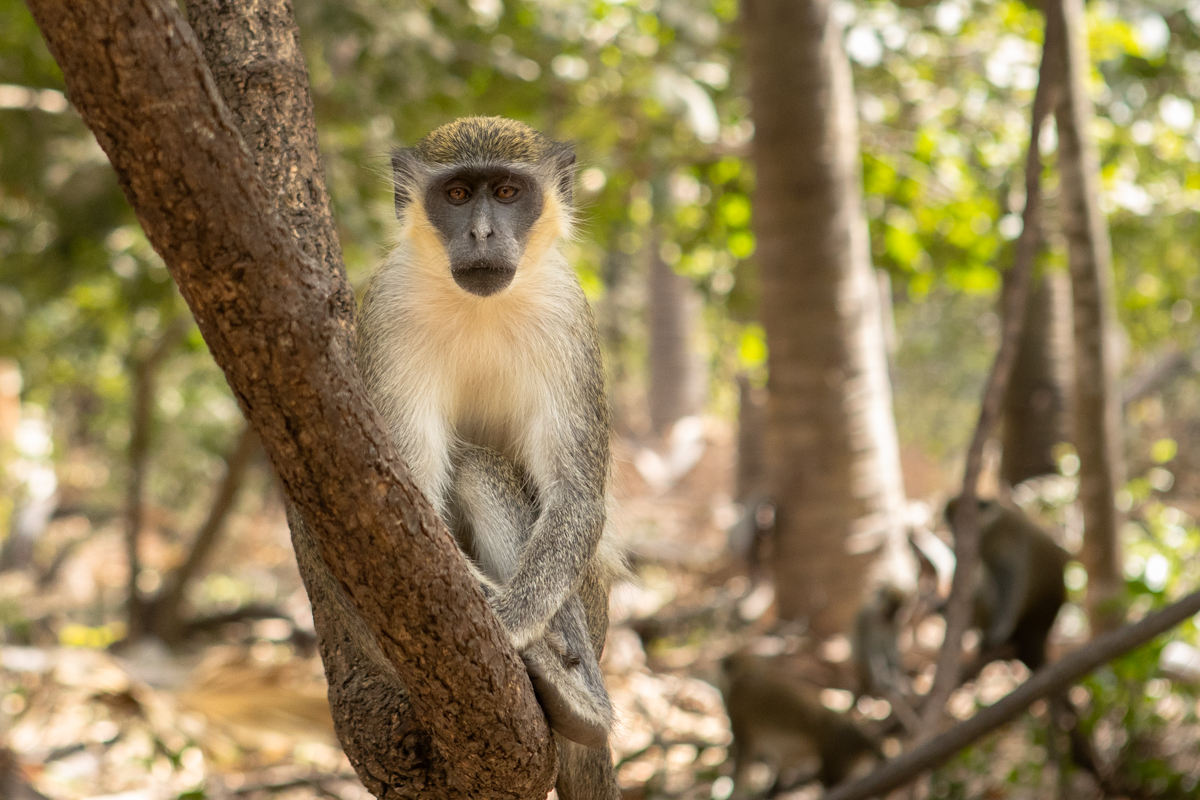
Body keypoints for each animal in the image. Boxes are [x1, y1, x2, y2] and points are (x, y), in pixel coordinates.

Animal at [356, 117, 623, 798]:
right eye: (456, 196)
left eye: (506, 193)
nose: (481, 232)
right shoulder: (388, 309)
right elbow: (400, 498)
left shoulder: (568, 314)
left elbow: (577, 498)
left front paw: (506, 619)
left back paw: (579, 705)